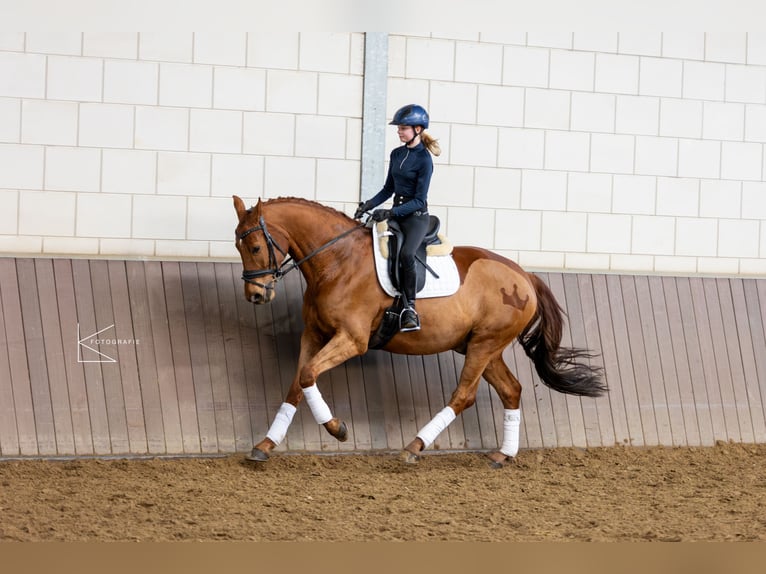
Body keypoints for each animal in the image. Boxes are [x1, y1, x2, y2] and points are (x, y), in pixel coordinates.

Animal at [233, 196, 606, 467]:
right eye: (238, 247)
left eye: (255, 247)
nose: (255, 296)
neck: (337, 260)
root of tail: (524, 275)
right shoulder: (314, 334)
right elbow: (297, 383)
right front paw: (265, 444)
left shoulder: (351, 340)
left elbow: (309, 374)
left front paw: (337, 429)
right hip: (483, 346)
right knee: (511, 390)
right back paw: (503, 455)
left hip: (485, 344)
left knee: (464, 395)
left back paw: (414, 446)